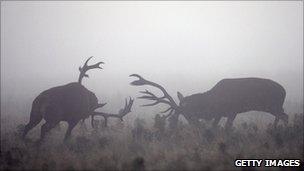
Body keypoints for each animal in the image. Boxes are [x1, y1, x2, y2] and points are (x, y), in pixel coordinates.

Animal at [129, 74, 288, 130]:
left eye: (187, 113)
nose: (172, 123)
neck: (211, 104)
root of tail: (284, 91)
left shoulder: (232, 111)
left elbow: (226, 128)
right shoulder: (220, 114)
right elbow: (214, 126)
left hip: (273, 105)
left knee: (283, 116)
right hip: (275, 106)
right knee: (284, 115)